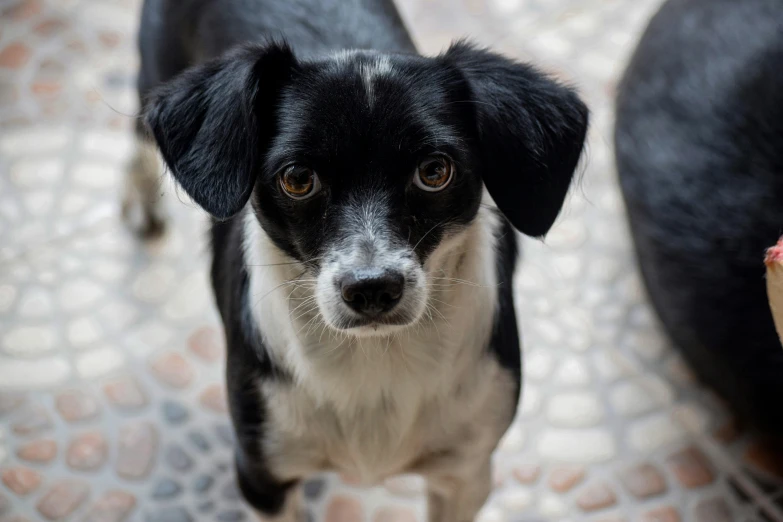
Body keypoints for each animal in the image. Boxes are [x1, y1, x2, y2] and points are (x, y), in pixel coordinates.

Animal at [127, 0, 588, 516]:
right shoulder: (262, 473)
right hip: (151, 73)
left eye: (435, 171)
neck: (374, 359)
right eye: (297, 179)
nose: (372, 289)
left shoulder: (466, 474)